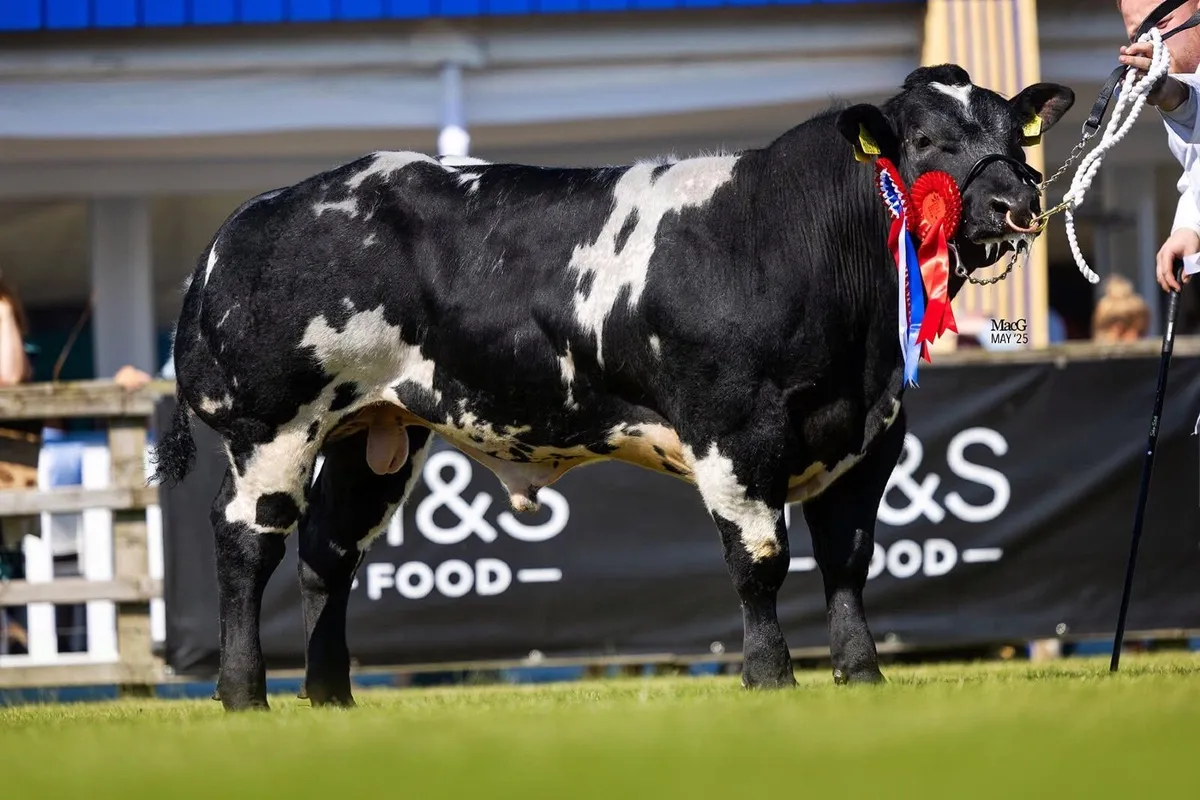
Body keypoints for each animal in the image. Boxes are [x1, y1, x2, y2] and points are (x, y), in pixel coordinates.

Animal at [151, 64, 1075, 712]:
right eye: (924, 143)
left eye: (1015, 134)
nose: (1017, 201)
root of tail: (247, 221)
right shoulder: (735, 428)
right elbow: (761, 560)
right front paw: (771, 678)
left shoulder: (871, 432)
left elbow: (848, 561)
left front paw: (861, 677)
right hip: (272, 427)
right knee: (247, 542)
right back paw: (244, 694)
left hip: (376, 434)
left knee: (327, 554)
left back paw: (328, 696)